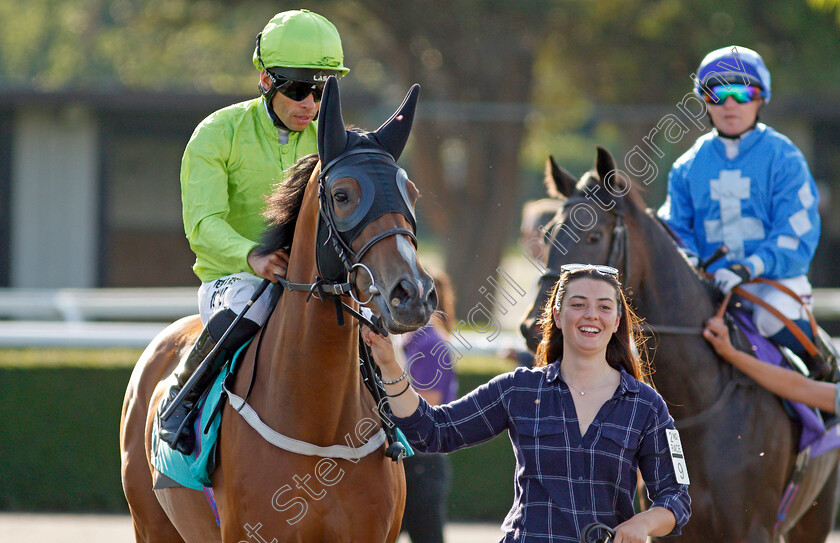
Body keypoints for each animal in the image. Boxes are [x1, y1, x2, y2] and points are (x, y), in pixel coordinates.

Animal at [520, 147, 840, 540]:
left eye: (593, 235)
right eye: (547, 236)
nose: (534, 326)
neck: (699, 404)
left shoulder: (752, 527)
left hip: (814, 514)